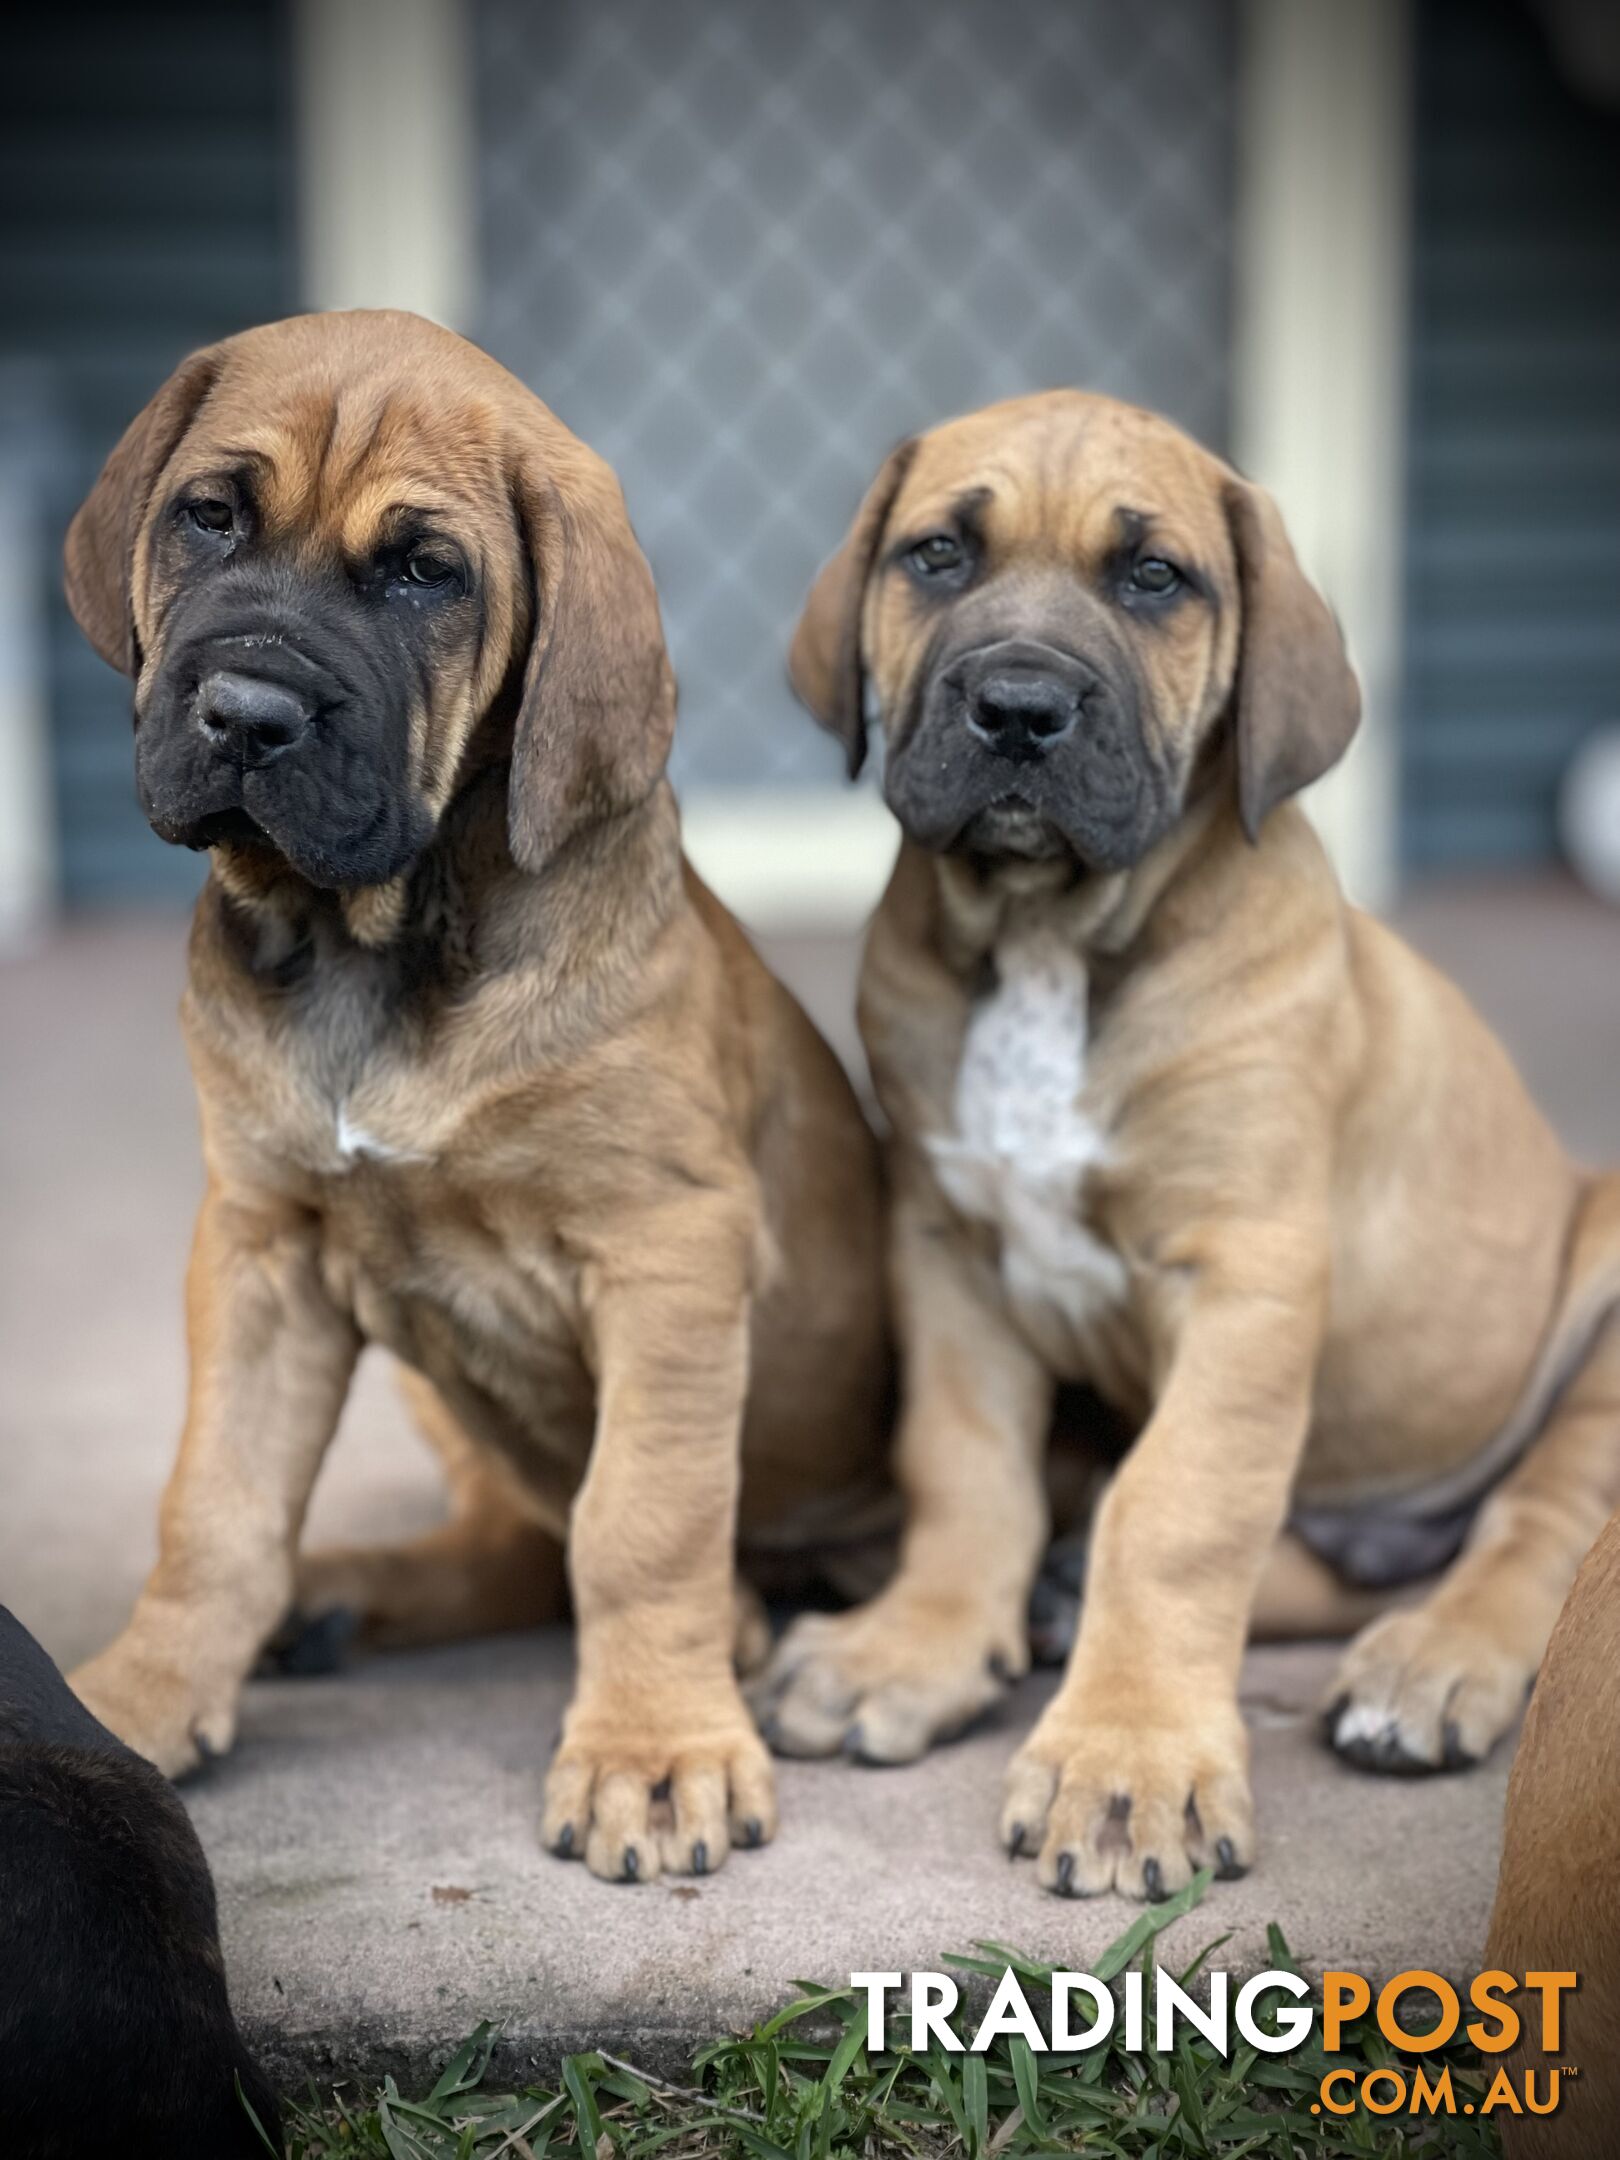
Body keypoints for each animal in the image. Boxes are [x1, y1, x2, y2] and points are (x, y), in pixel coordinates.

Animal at [63, 313, 894, 1883]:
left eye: (422, 574)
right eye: (210, 518)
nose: (246, 714)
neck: (375, 947)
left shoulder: (669, 1249)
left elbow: (641, 1518)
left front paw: (652, 1752)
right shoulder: (261, 1250)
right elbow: (216, 1504)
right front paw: (139, 1700)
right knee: (509, 1541)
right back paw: (339, 1597)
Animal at [760, 384, 1620, 1892]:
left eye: (1154, 578)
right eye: (937, 556)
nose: (1019, 708)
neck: (1049, 940)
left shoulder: (1244, 1275)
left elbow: (1175, 1511)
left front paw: (1129, 1765)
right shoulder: (947, 1250)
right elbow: (965, 1466)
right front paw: (913, 1648)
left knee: (1538, 1523)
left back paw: (1431, 1665)